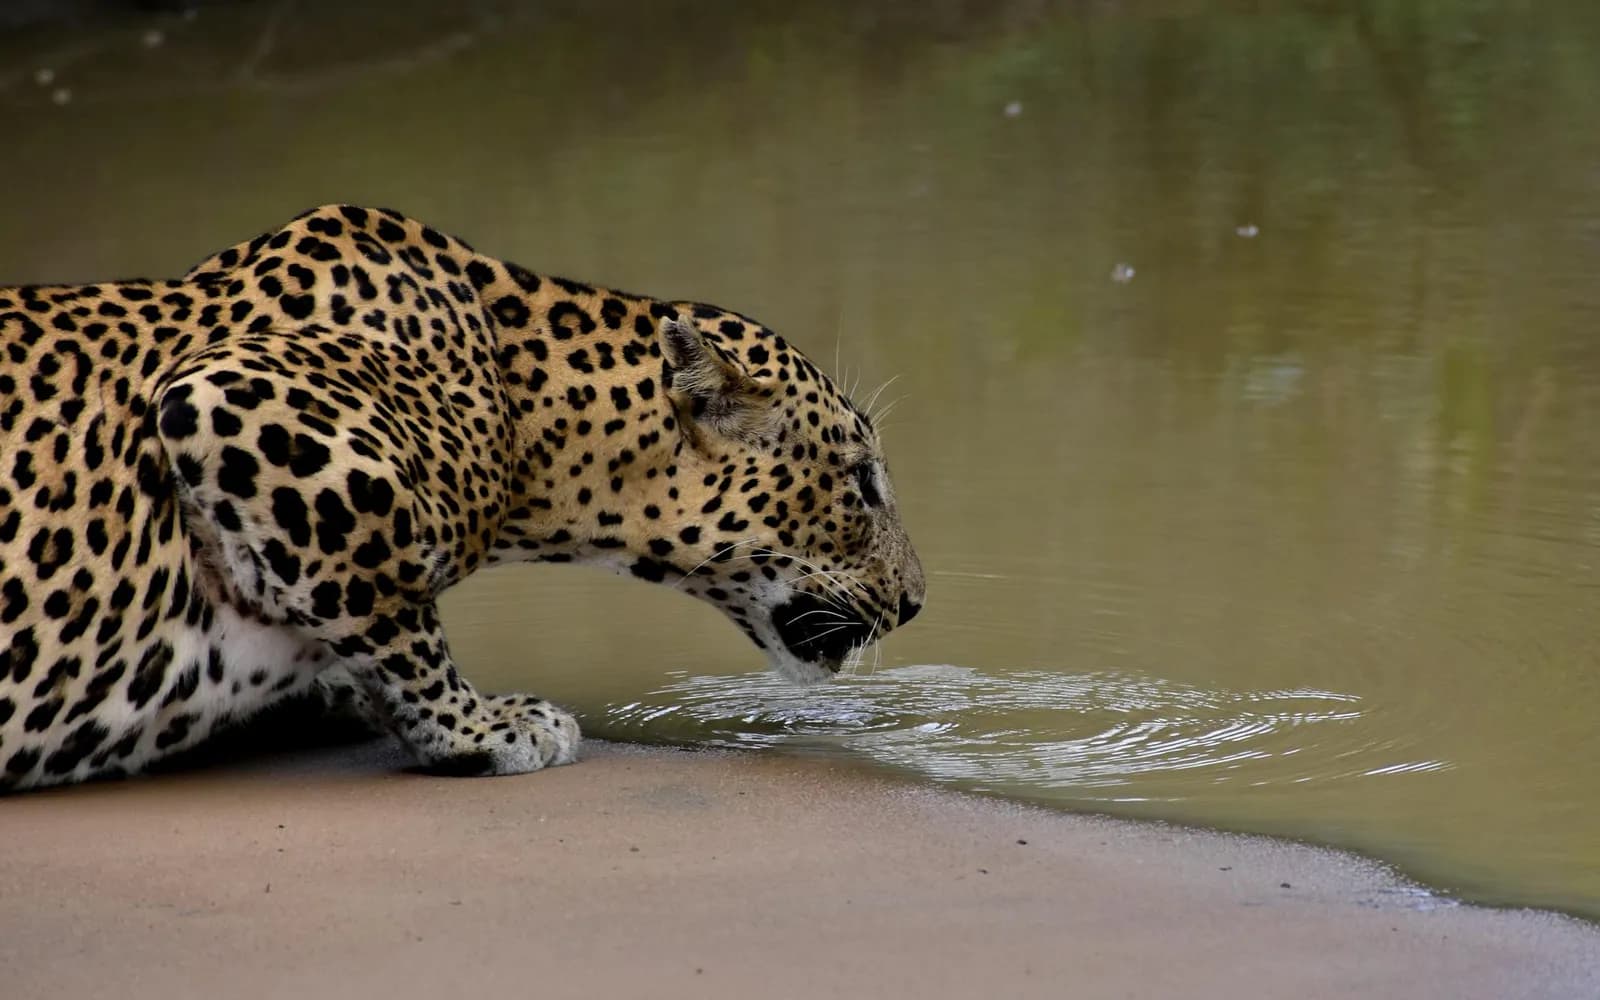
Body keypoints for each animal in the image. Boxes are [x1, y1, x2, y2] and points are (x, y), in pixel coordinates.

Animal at [0, 205, 924, 792]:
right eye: (861, 482)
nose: (917, 602)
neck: (528, 418)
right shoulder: (233, 401)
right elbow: (390, 606)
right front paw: (482, 726)